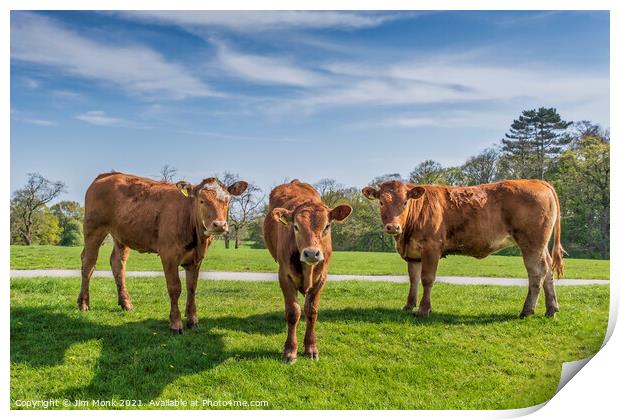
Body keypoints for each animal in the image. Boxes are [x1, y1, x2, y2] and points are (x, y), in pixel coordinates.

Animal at [78, 172, 248, 334]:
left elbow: (192, 287)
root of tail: (107, 175)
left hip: (121, 236)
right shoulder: (169, 255)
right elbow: (175, 288)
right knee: (88, 264)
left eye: (227, 200)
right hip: (93, 229)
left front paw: (192, 320)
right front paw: (175, 323)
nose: (219, 224)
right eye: (201, 200)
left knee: (117, 264)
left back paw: (126, 303)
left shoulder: (196, 259)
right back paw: (83, 303)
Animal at [262, 179, 354, 362]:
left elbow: (311, 311)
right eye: (296, 227)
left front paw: (311, 347)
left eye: (327, 226)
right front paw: (290, 350)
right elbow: (293, 312)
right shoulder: (284, 276)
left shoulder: (321, 278)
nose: (311, 253)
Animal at [364, 179, 568, 320]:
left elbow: (427, 279)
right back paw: (551, 309)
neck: (405, 235)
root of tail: (537, 181)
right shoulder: (414, 254)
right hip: (541, 246)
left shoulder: (431, 248)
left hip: (531, 242)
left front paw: (423, 309)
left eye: (405, 202)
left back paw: (527, 311)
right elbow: (413, 279)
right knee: (548, 270)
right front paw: (409, 305)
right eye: (381, 202)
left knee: (537, 272)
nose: (393, 227)